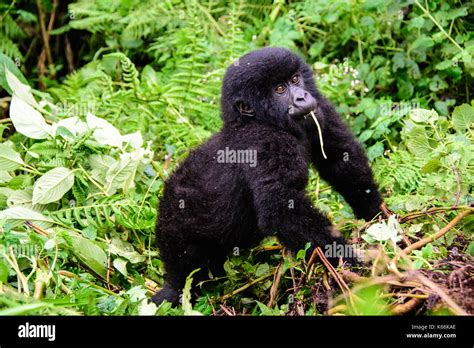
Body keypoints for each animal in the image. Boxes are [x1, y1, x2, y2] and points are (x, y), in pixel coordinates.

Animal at [154, 48, 384, 304]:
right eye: (280, 89)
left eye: (295, 79)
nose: (302, 97)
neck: (253, 120)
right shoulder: (267, 143)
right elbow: (282, 209)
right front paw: (347, 257)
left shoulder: (318, 108)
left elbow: (340, 159)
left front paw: (377, 214)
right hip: (176, 235)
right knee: (185, 274)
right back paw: (174, 291)